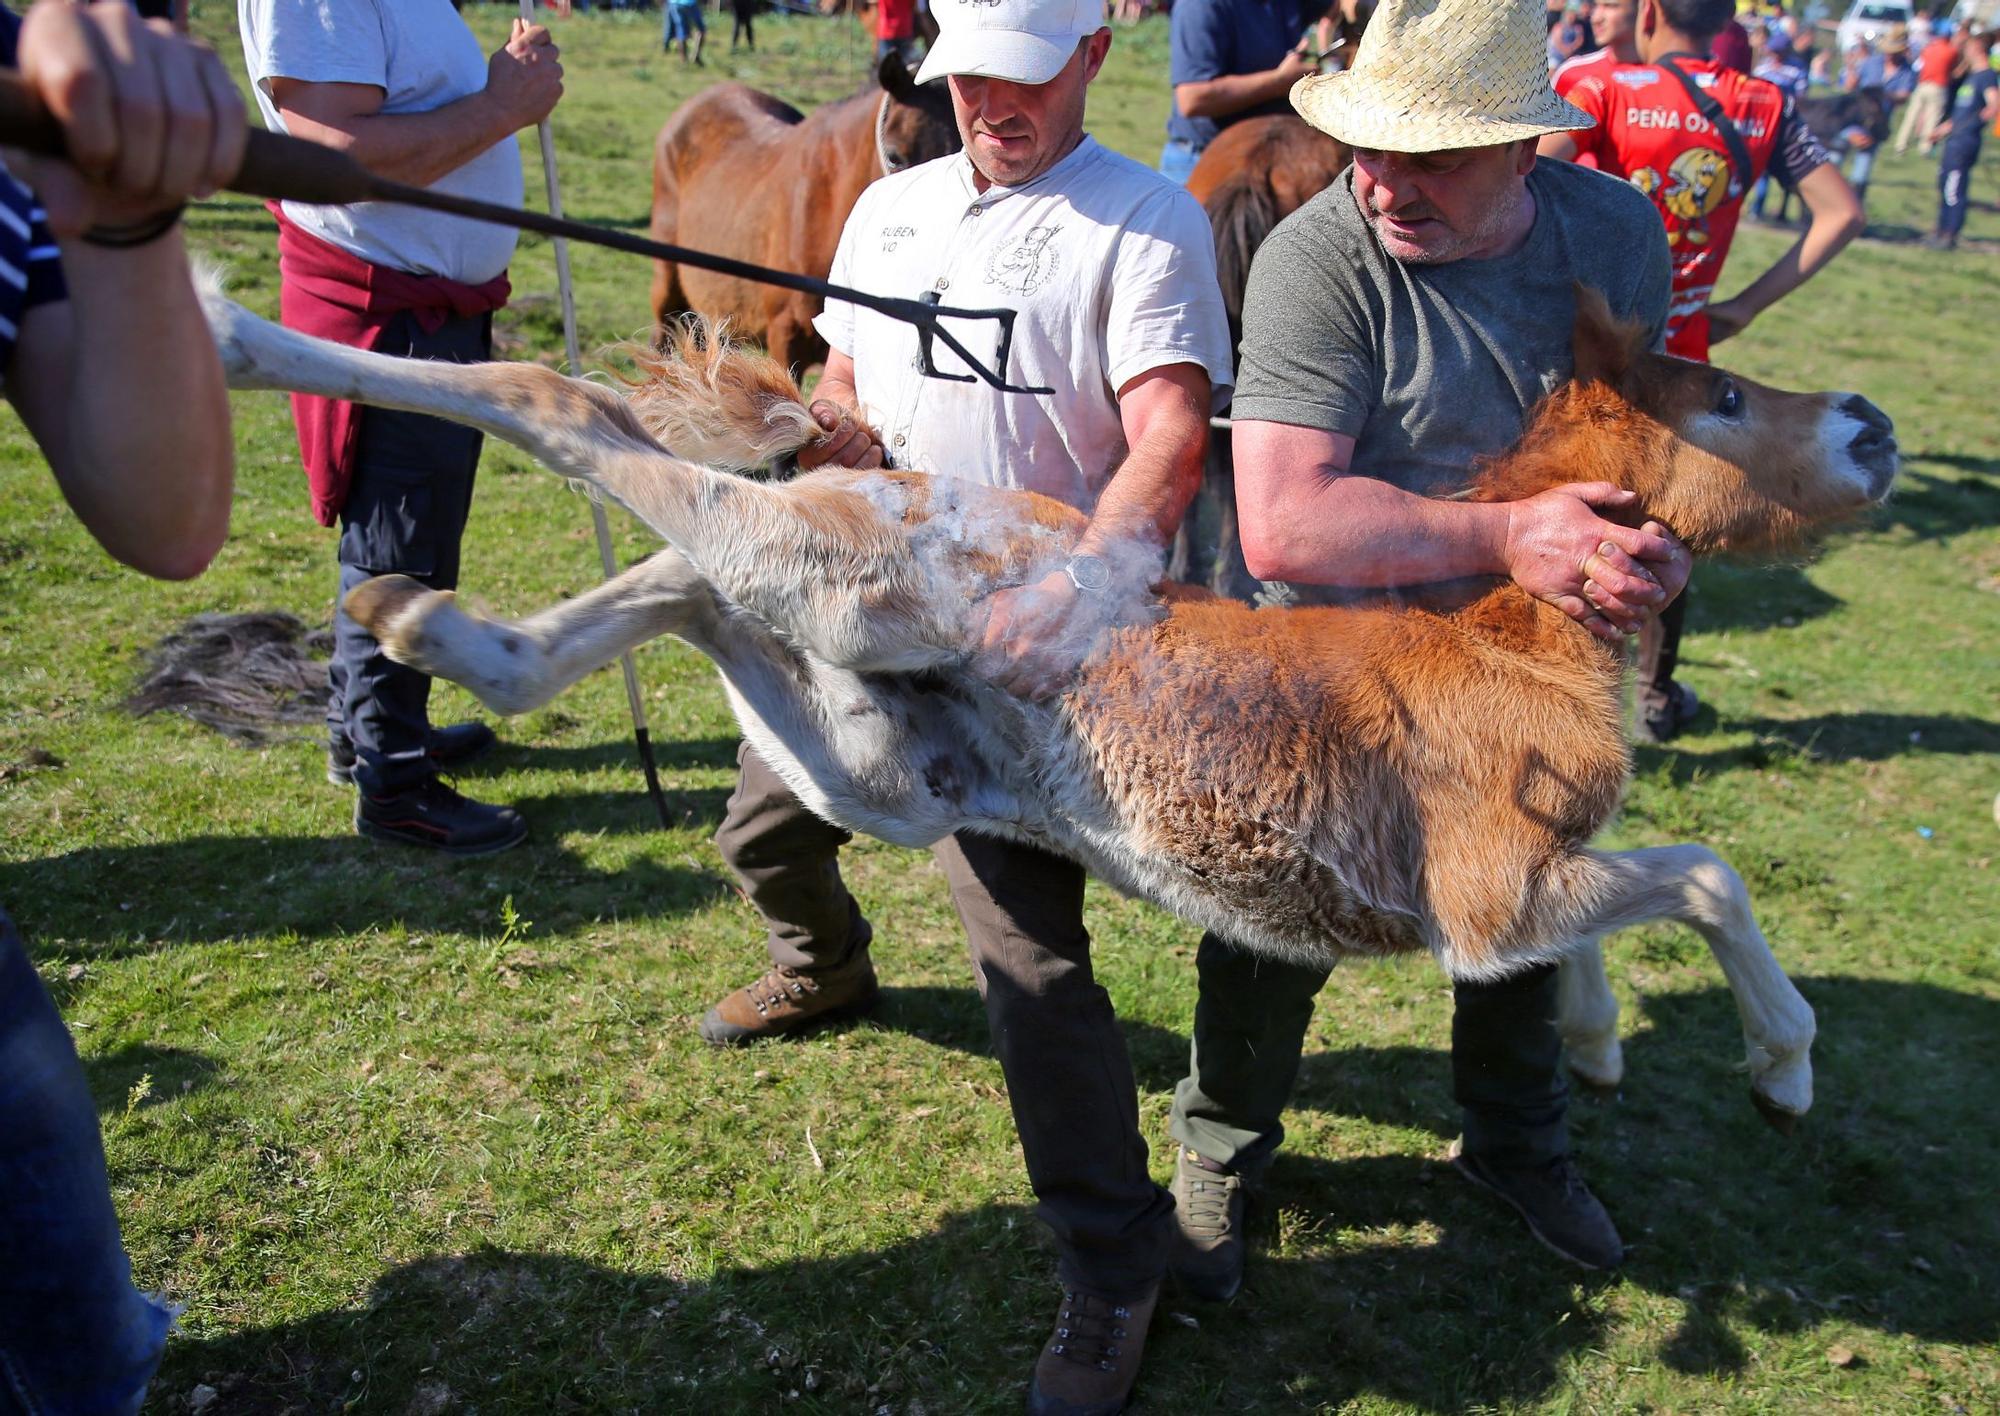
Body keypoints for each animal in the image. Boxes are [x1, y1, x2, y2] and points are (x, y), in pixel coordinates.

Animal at [199, 284, 1888, 1128]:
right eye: (1726, 398)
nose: (1871, 419)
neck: (1518, 643)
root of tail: (889, 464)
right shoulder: (1482, 898)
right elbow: (1702, 878)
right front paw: (1786, 1059)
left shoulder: (1525, 892)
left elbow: (1606, 920)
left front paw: (1594, 1042)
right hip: (847, 584)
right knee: (574, 412)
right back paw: (233, 338)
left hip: (856, 736)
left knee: (678, 576)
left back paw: (421, 617)